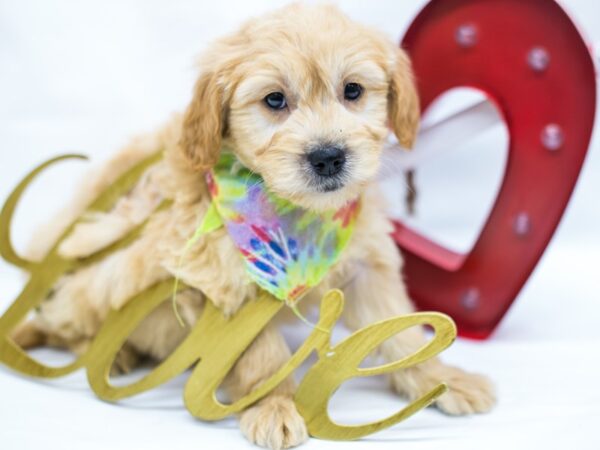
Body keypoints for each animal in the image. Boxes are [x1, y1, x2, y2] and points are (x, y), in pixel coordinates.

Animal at [11, 4, 494, 450]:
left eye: (352, 90)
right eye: (275, 100)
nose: (328, 157)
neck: (298, 217)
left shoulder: (367, 268)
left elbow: (403, 333)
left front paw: (443, 378)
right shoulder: (229, 287)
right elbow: (263, 359)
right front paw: (272, 406)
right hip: (88, 277)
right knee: (67, 328)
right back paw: (114, 353)